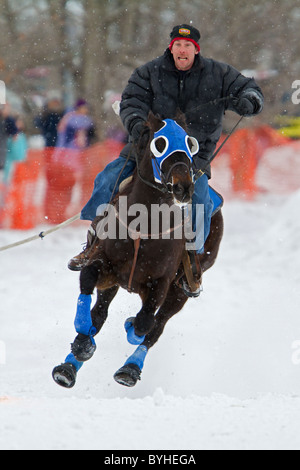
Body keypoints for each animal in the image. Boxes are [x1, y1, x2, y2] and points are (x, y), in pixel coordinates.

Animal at [52, 112, 224, 388]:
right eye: (160, 143)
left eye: (190, 143)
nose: (184, 187)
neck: (145, 223)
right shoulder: (103, 262)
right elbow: (87, 283)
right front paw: (82, 342)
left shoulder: (161, 282)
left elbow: (145, 324)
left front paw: (130, 325)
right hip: (114, 282)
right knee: (100, 314)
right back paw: (69, 366)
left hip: (182, 290)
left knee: (156, 326)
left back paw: (129, 368)